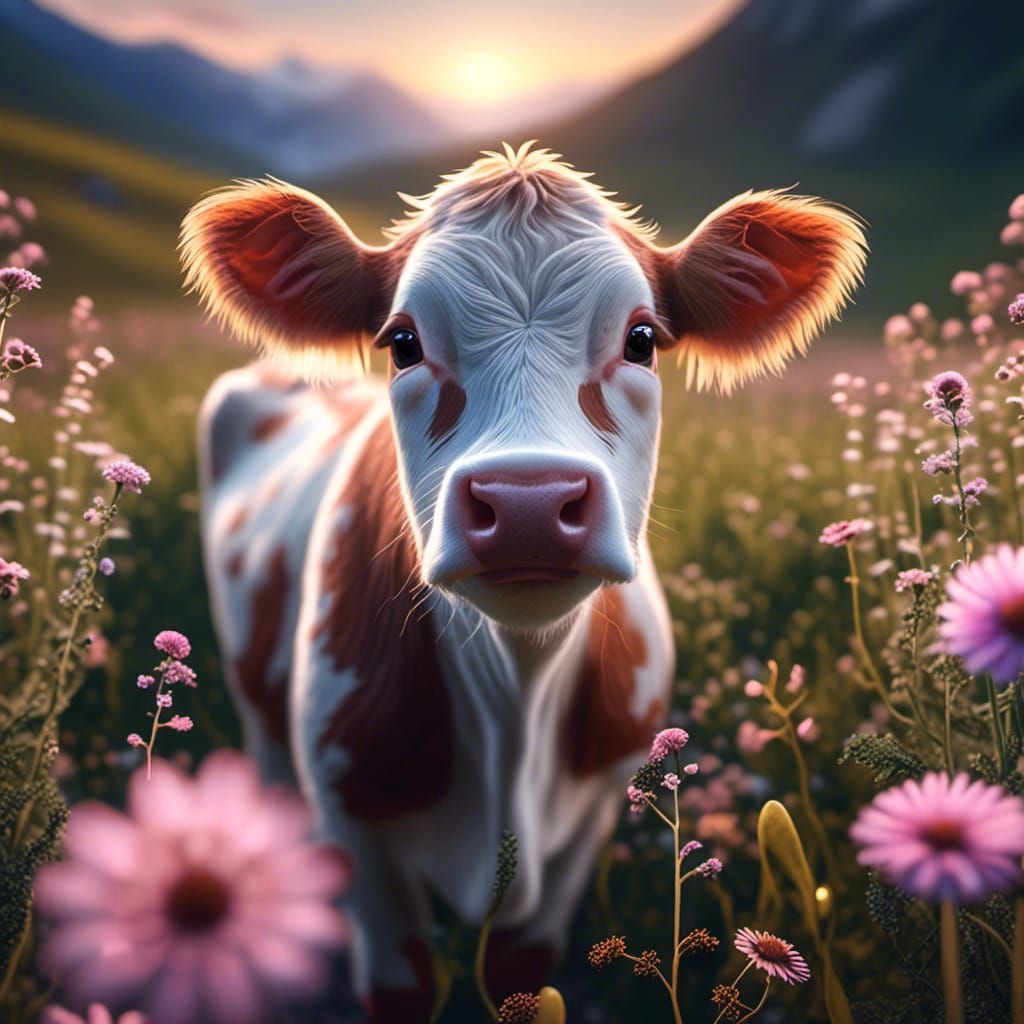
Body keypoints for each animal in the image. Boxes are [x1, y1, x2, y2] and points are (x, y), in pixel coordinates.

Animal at [180, 142, 865, 1022]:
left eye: (642, 338)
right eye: (402, 342)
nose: (529, 502)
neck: (515, 706)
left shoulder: (592, 819)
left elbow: (521, 977)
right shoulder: (353, 825)